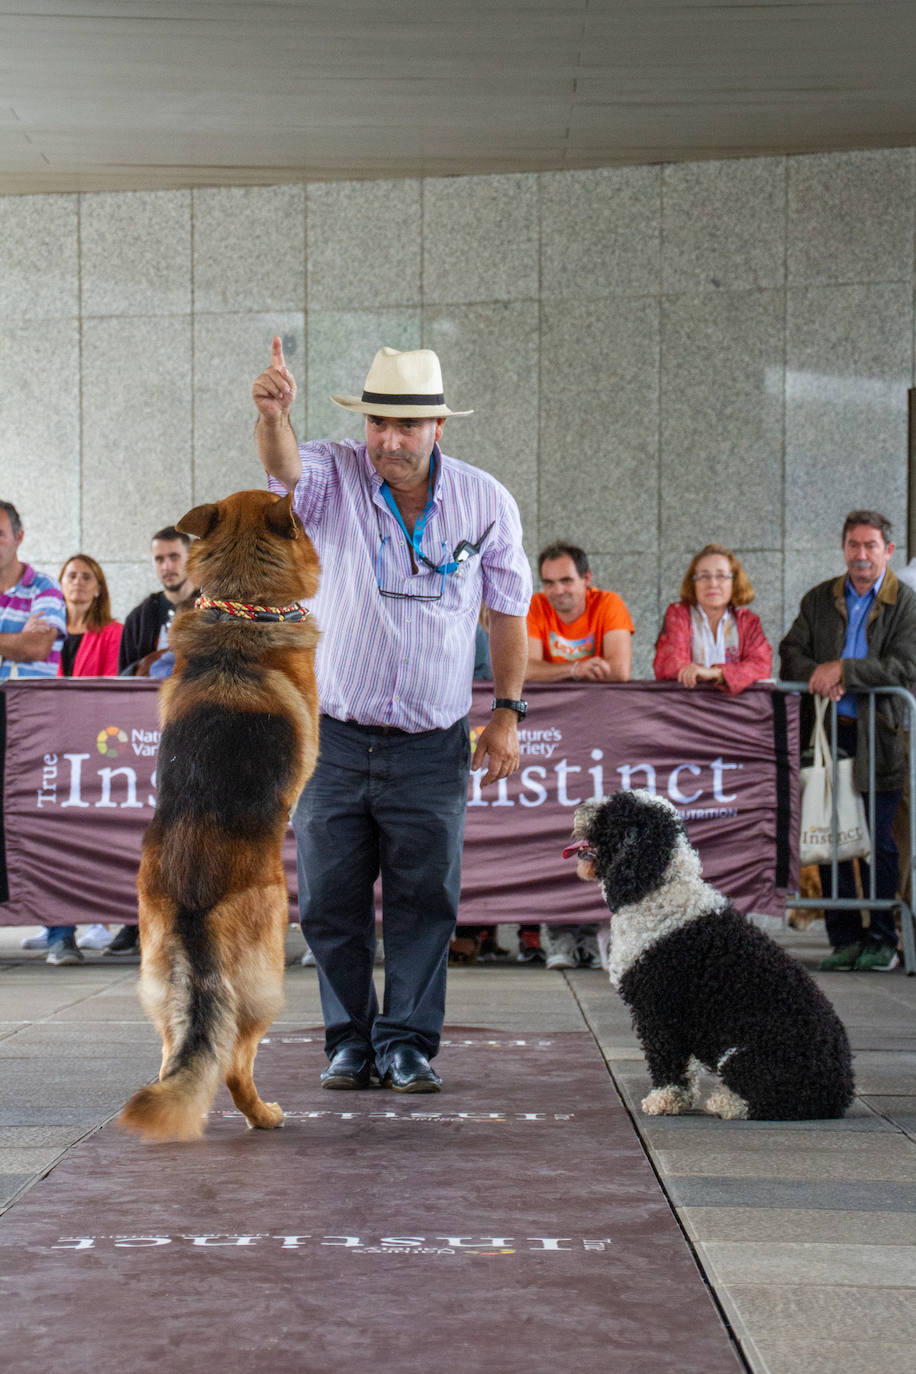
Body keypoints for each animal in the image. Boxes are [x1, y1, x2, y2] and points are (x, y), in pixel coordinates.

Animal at [568, 791, 856, 1121]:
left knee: (773, 1101)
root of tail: (840, 1092)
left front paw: (663, 1100)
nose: (579, 806)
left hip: (742, 1056)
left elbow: (666, 1060)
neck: (657, 887)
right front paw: (679, 1100)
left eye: (614, 810)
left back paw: (725, 1103)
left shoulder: (660, 1010)